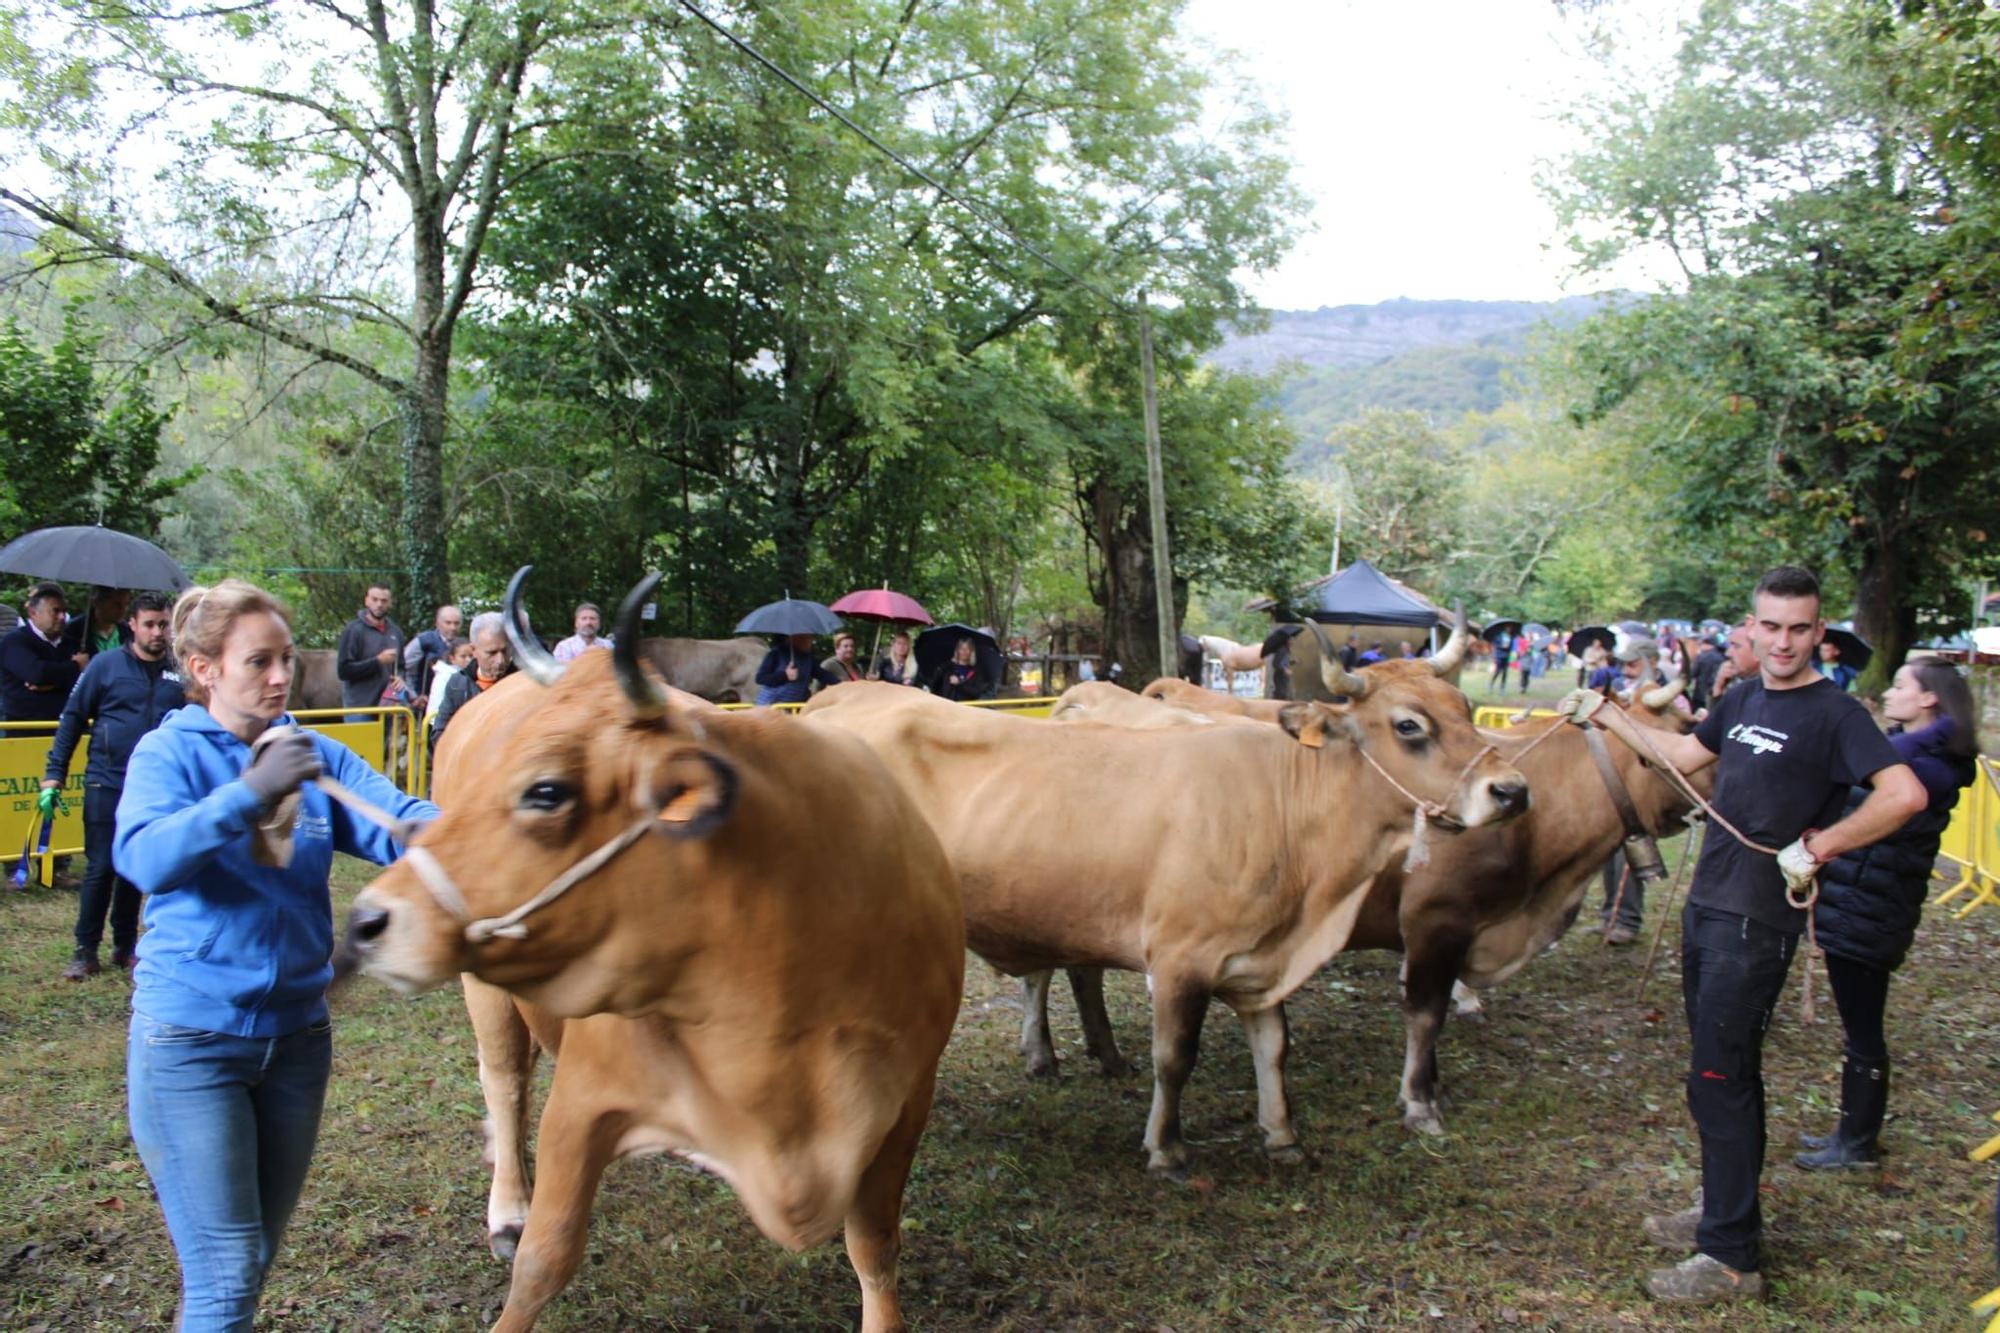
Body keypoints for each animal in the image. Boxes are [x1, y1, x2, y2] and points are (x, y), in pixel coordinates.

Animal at [340, 568, 964, 1328]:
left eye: (546, 790)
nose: (368, 919)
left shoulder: (905, 1104)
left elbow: (874, 1248)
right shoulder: (582, 1101)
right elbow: (542, 1260)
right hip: (484, 991)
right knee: (505, 1080)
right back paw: (507, 1205)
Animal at [804, 616, 1520, 1168]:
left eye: (1464, 711)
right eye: (1409, 725)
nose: (1512, 791)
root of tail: (838, 702)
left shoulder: (1260, 958)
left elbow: (1274, 1048)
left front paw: (1281, 1136)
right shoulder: (1181, 959)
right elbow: (1175, 1057)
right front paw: (1166, 1148)